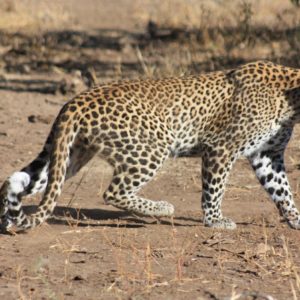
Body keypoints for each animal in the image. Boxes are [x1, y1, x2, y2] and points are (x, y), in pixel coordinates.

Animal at [0, 59, 300, 232]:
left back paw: (8, 221)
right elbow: (214, 191)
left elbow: (282, 191)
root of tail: (77, 100)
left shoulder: (267, 155)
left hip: (69, 157)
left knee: (15, 183)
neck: (291, 103)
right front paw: (215, 221)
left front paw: (296, 219)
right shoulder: (221, 148)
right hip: (154, 146)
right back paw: (161, 209)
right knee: (113, 192)